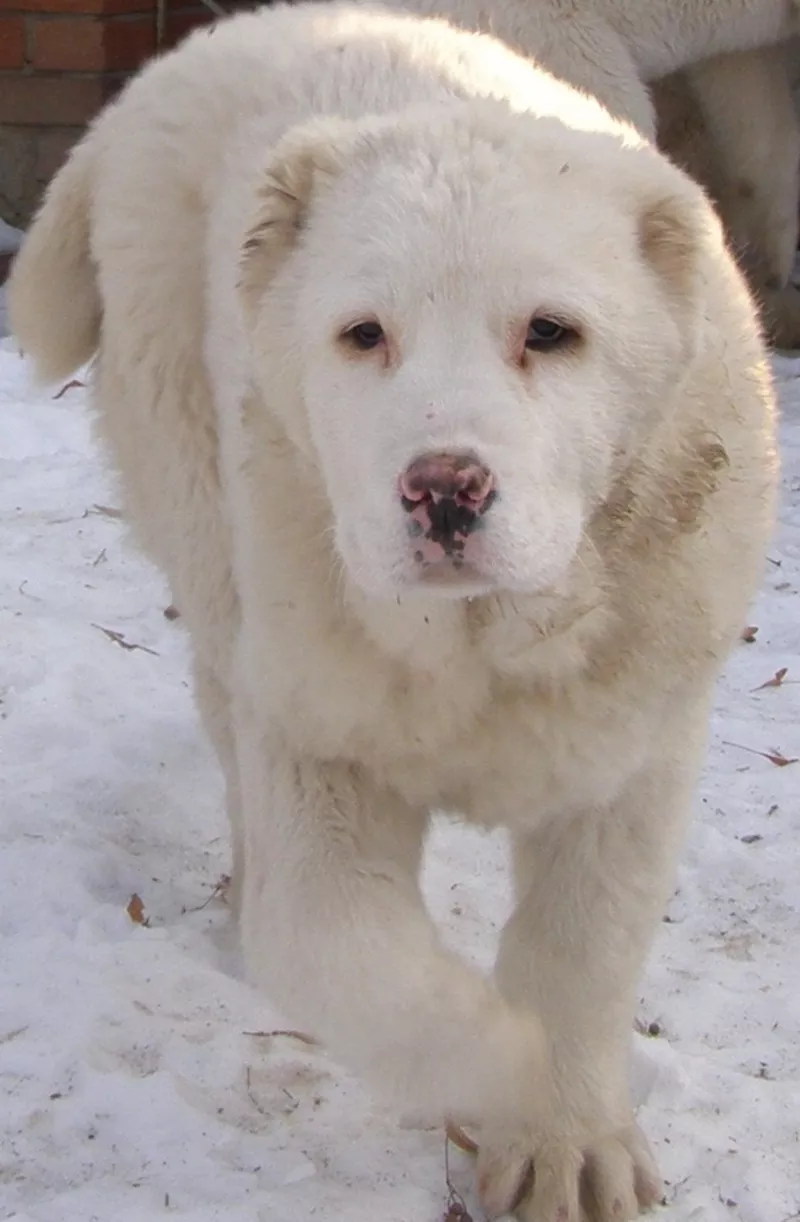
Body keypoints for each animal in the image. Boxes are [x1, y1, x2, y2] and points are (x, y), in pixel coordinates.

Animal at [6, 4, 781, 1217]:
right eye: (364, 335)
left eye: (550, 333)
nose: (442, 488)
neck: (484, 639)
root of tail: (182, 60)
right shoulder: (316, 727)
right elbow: (340, 947)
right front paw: (497, 1053)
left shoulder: (632, 753)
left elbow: (585, 943)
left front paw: (566, 1140)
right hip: (201, 512)